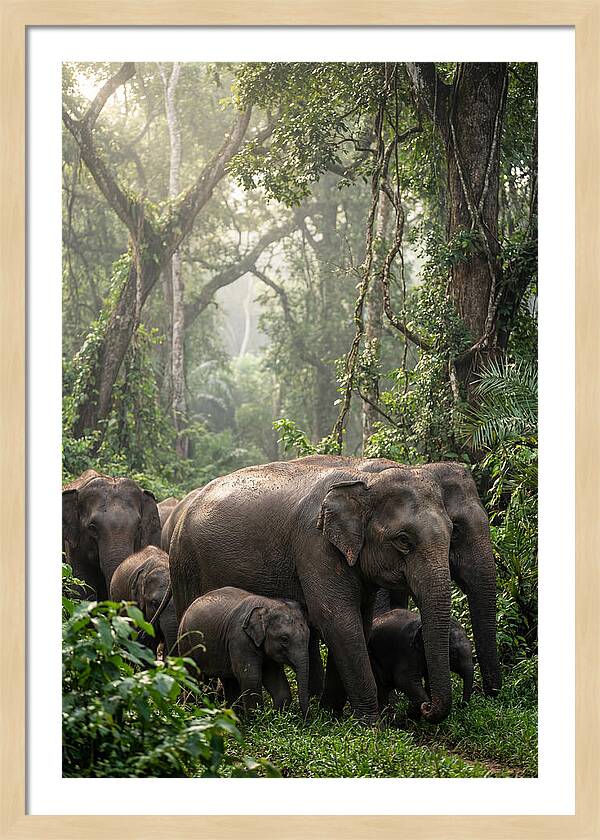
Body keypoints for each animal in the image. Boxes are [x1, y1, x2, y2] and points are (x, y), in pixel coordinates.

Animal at [177, 587, 310, 715]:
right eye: (284, 639)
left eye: (308, 635)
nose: (306, 718)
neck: (266, 604)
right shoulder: (239, 639)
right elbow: (250, 677)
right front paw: (256, 719)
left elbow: (276, 679)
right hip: (186, 643)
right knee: (194, 679)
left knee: (229, 682)